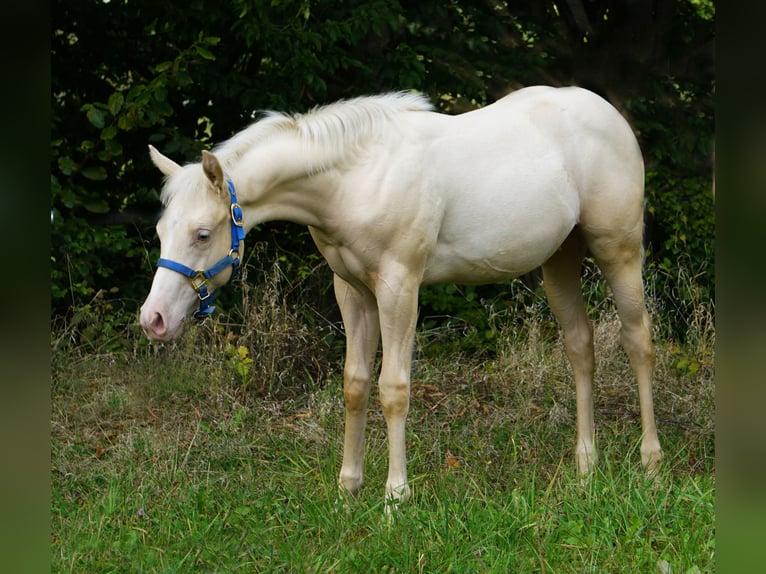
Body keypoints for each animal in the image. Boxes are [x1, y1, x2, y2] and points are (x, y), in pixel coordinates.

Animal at [141, 84, 664, 508]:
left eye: (202, 234)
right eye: (162, 231)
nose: (154, 319)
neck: (356, 178)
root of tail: (611, 115)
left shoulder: (399, 287)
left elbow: (394, 388)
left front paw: (396, 497)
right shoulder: (352, 292)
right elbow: (354, 385)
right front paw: (348, 489)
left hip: (618, 251)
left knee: (638, 341)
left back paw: (651, 461)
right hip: (560, 259)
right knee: (581, 346)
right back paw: (586, 465)